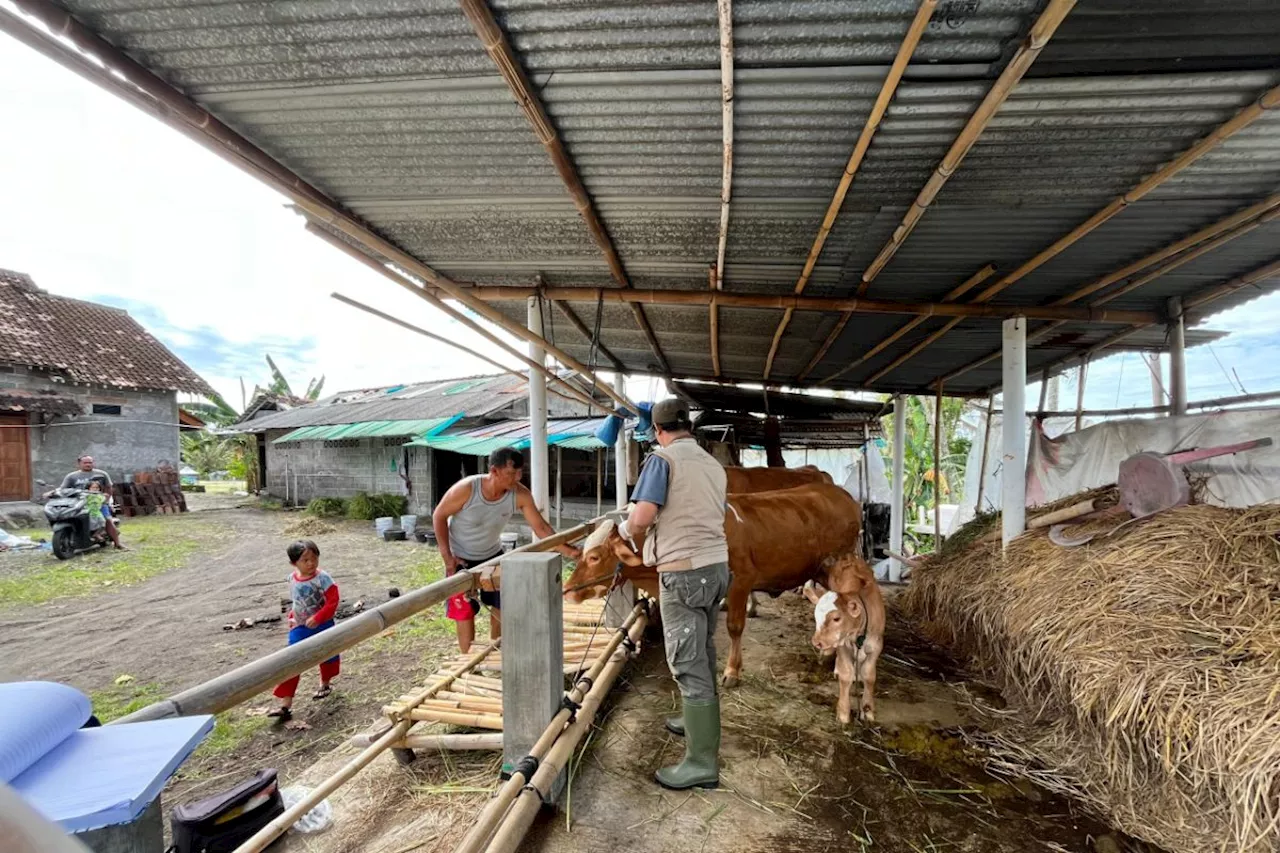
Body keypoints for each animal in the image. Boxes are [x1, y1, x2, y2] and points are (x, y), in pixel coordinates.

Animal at [568, 479, 860, 686]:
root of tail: (842, 495)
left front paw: (732, 671)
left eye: (594, 557)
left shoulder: (740, 581)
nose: (568, 591)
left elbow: (734, 627)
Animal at [803, 550, 885, 722]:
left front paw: (868, 710)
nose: (817, 642)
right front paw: (843, 713)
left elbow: (869, 675)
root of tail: (847, 557)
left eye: (836, 618)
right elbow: (846, 674)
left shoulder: (877, 645)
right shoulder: (842, 645)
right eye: (816, 617)